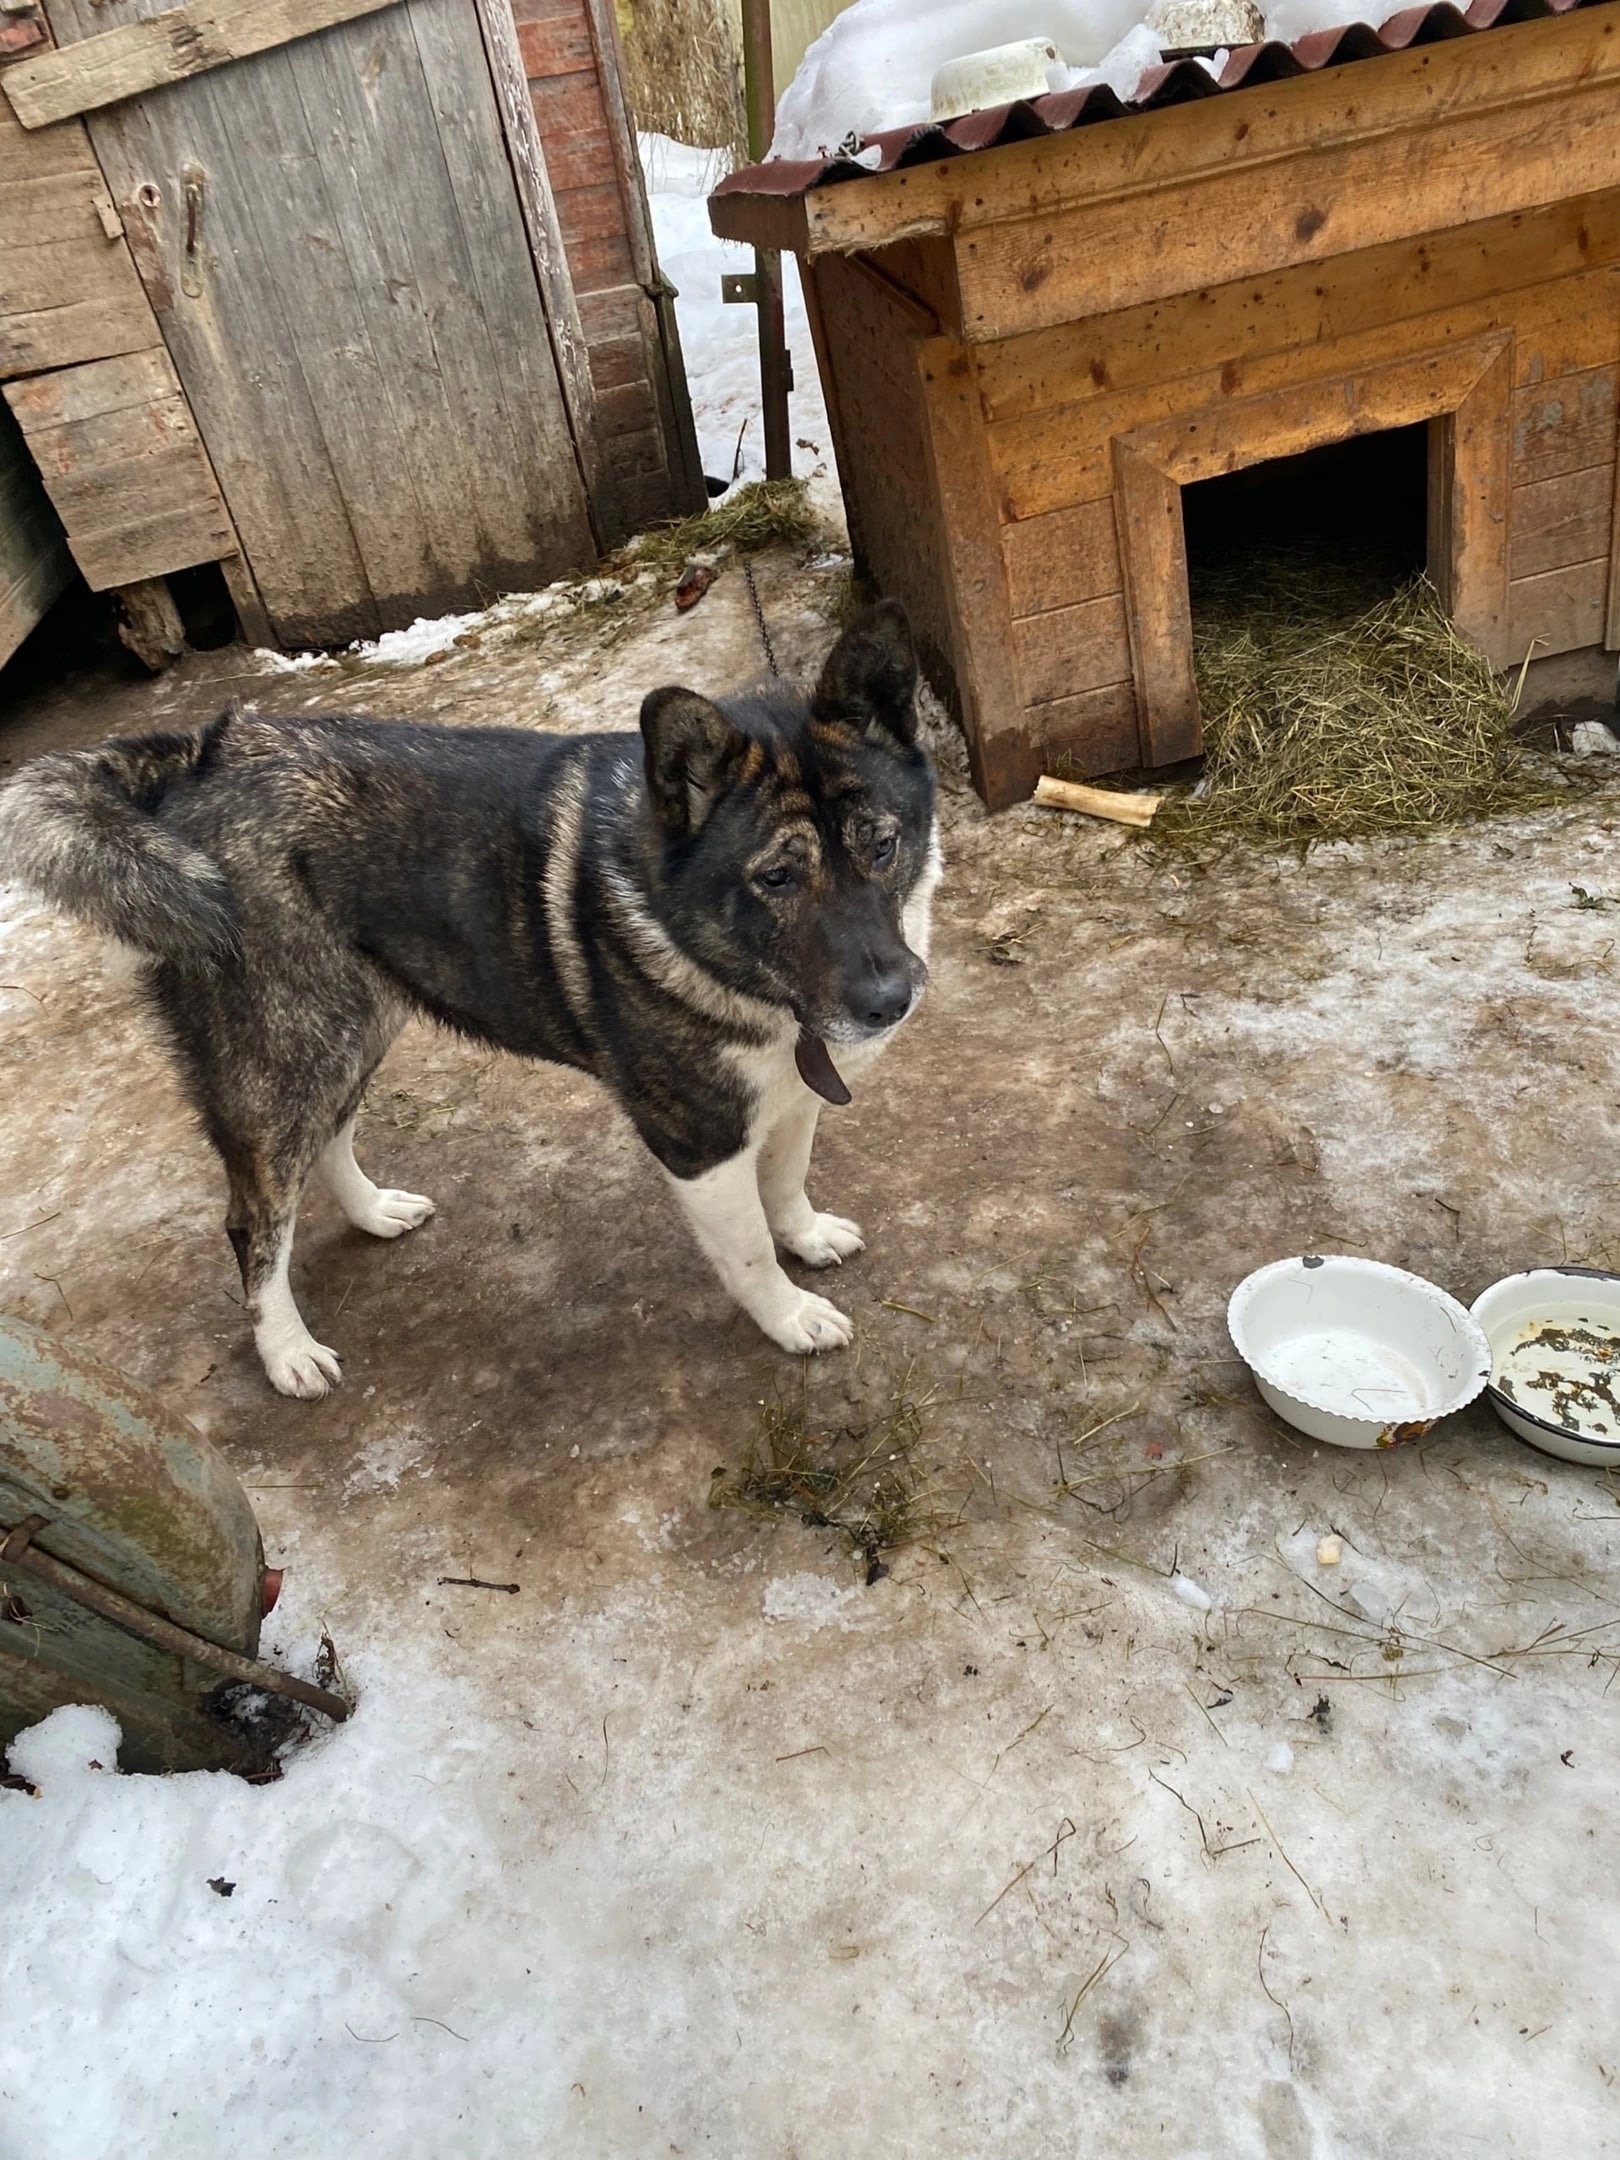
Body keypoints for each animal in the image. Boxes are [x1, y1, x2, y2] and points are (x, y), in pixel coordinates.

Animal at [0, 600, 937, 1399]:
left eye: (883, 845)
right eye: (777, 878)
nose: (891, 1000)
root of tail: (200, 754)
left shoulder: (788, 1099)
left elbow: (787, 1182)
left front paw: (805, 1237)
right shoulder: (700, 1143)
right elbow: (746, 1251)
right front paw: (790, 1316)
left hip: (349, 1023)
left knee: (330, 1133)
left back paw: (373, 1213)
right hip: (279, 1056)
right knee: (254, 1220)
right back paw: (287, 1351)